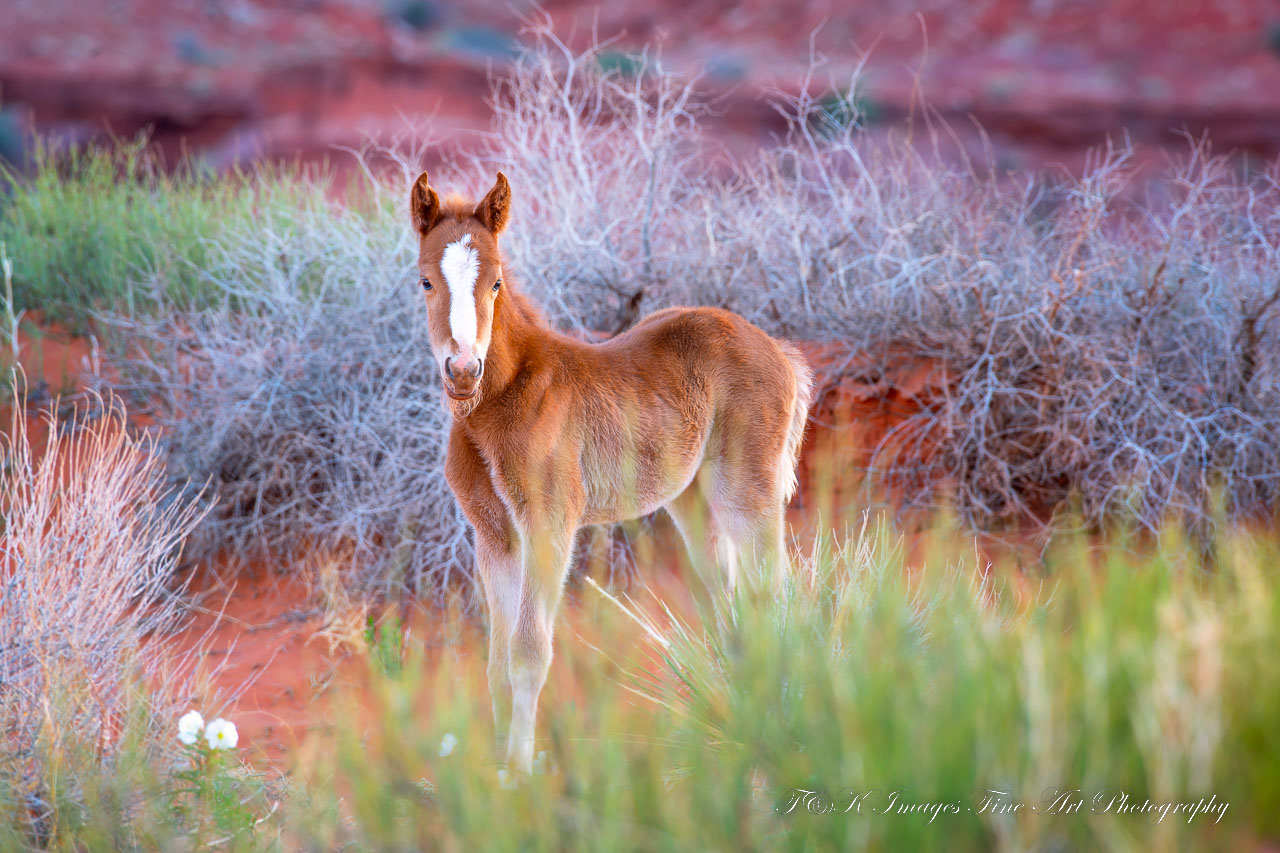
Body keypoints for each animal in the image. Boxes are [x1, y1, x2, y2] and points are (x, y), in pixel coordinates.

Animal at [409, 171, 808, 768]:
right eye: (426, 282)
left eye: (497, 283)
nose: (462, 371)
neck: (499, 403)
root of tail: (779, 349)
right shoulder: (493, 534)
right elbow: (497, 662)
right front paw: (500, 767)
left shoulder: (549, 523)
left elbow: (528, 653)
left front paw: (519, 774)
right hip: (690, 501)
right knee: (728, 600)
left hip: (746, 489)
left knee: (772, 596)